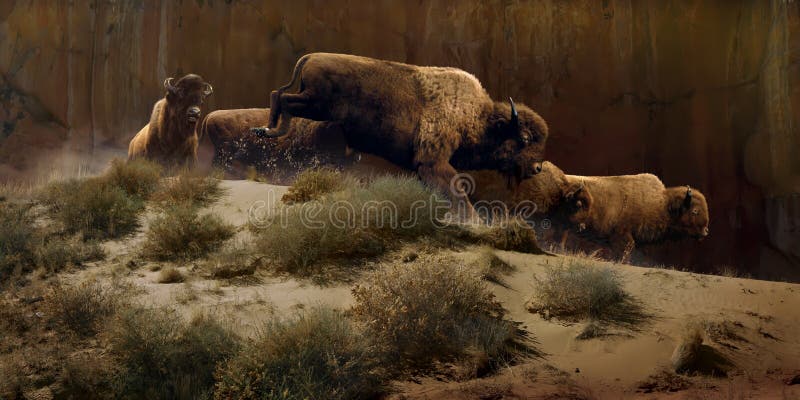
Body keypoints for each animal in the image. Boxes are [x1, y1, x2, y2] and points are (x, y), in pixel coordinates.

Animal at [252, 53, 549, 217]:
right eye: (523, 139)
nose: (537, 168)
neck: (475, 115)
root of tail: (312, 56)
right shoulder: (433, 162)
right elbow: (459, 193)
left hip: (313, 104)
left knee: (278, 94)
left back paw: (264, 130)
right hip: (314, 103)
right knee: (282, 98)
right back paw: (268, 130)